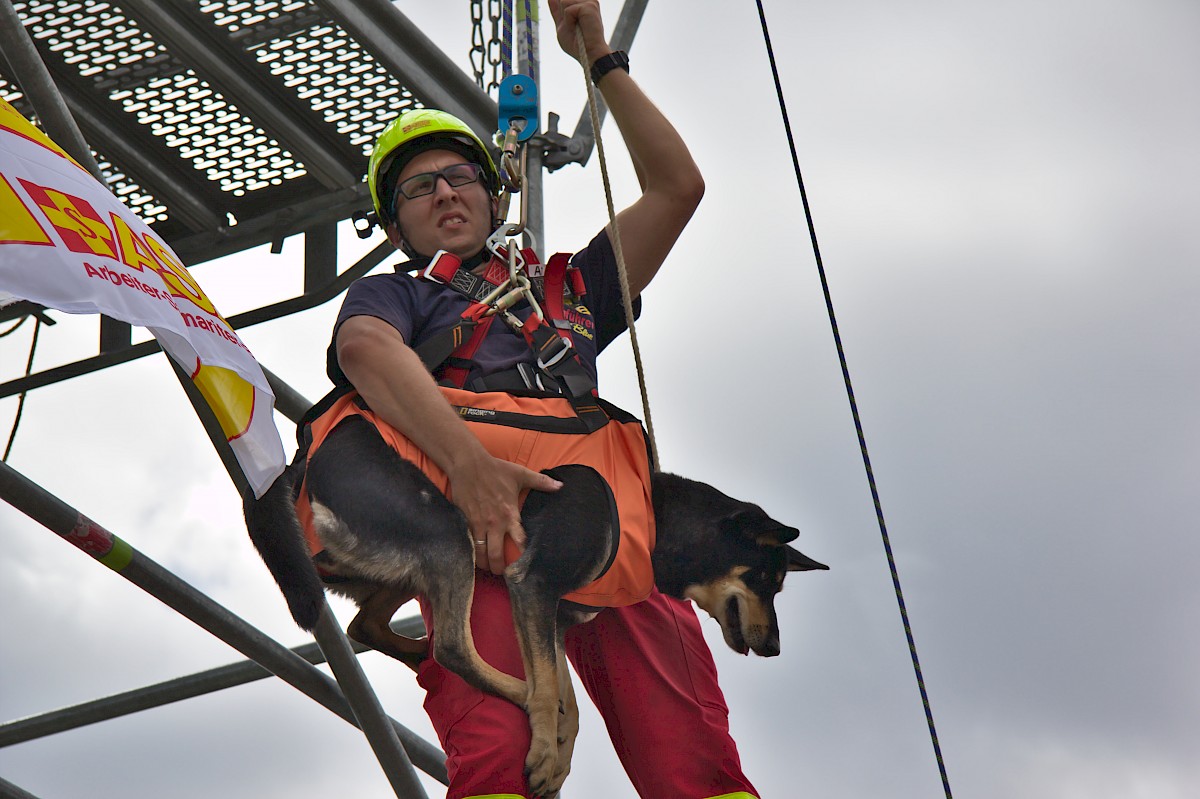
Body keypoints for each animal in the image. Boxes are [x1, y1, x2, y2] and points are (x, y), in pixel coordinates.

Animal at [243, 412, 825, 791]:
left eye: (778, 585)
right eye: (764, 578)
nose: (774, 647)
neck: (656, 515)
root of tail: (299, 464)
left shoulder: (555, 616)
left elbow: (568, 695)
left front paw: (558, 755)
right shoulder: (534, 584)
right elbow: (549, 690)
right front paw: (545, 745)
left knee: (366, 625)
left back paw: (419, 655)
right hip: (446, 528)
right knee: (453, 646)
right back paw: (505, 687)